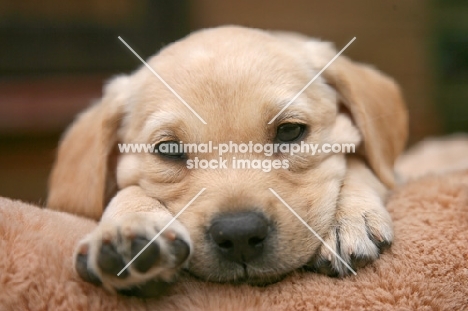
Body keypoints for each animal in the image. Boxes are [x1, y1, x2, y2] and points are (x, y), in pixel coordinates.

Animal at [46, 26, 406, 298]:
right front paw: (130, 226)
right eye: (169, 149)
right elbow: (128, 191)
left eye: (290, 130)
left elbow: (361, 165)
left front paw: (347, 216)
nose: (240, 236)